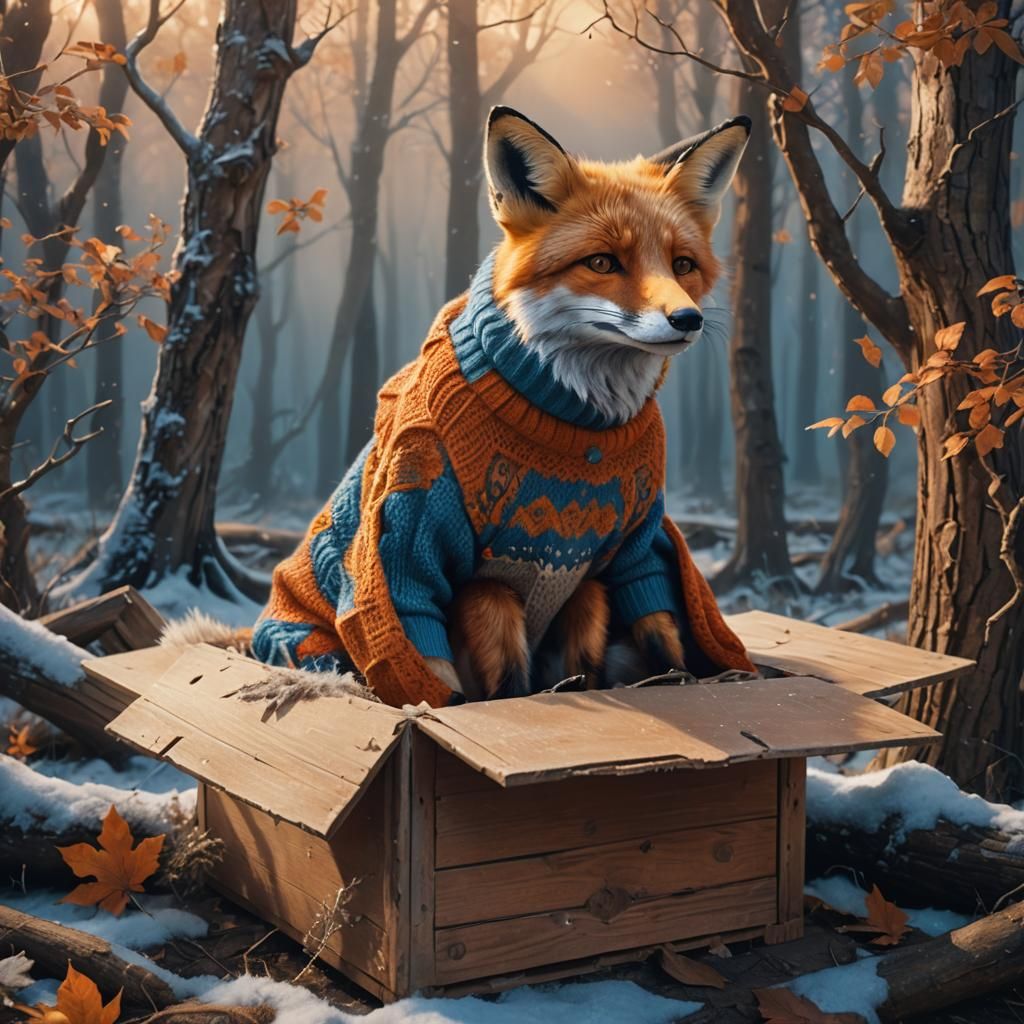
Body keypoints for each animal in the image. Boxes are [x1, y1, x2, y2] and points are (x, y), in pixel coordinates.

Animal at [246, 106, 756, 707]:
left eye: (682, 265)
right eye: (603, 262)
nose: (687, 319)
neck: (575, 420)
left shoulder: (629, 549)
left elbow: (655, 621)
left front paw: (679, 680)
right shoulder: (428, 545)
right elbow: (463, 677)